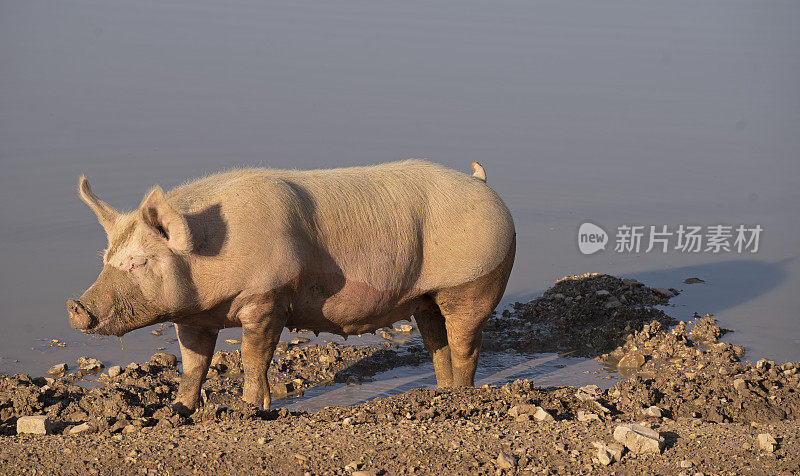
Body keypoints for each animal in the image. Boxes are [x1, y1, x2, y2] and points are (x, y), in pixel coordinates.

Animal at [70, 158, 520, 410]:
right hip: (425, 296)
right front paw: (179, 411)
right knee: (436, 339)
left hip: (475, 279)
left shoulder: (268, 296)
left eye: (138, 262)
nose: (76, 307)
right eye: (107, 260)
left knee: (465, 341)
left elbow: (253, 357)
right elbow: (193, 363)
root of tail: (483, 186)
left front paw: (250, 408)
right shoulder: (194, 317)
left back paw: (462, 395)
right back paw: (443, 392)